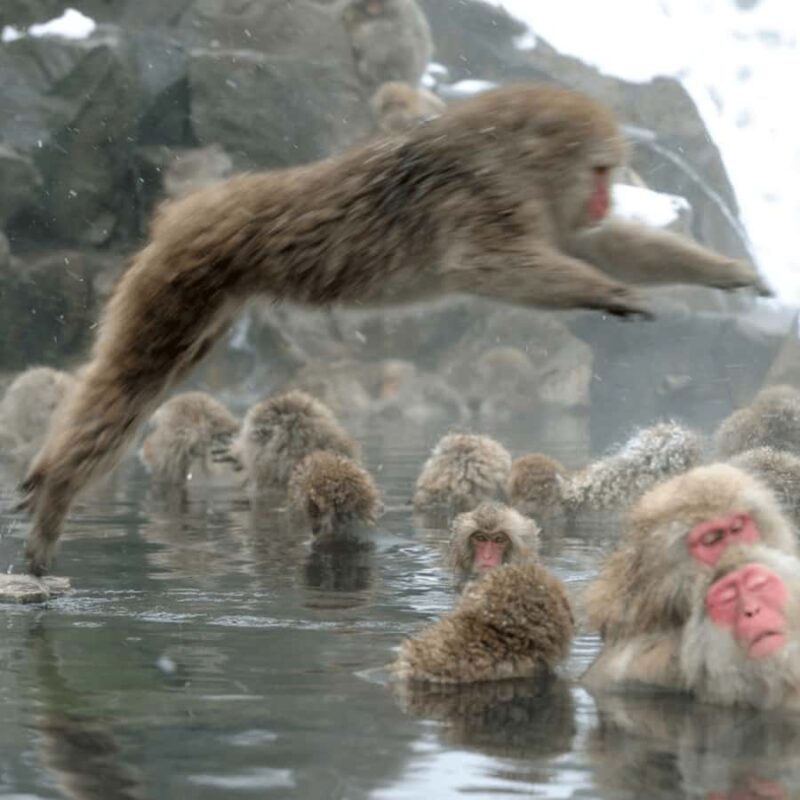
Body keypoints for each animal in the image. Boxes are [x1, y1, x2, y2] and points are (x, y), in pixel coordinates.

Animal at [19, 82, 770, 574]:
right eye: (601, 170)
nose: (605, 196)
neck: (513, 160)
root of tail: (188, 208)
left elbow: (598, 245)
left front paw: (729, 273)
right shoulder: (482, 201)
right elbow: (489, 265)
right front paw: (610, 292)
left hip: (204, 300)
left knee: (131, 379)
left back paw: (45, 474)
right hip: (179, 282)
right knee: (130, 381)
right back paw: (57, 493)